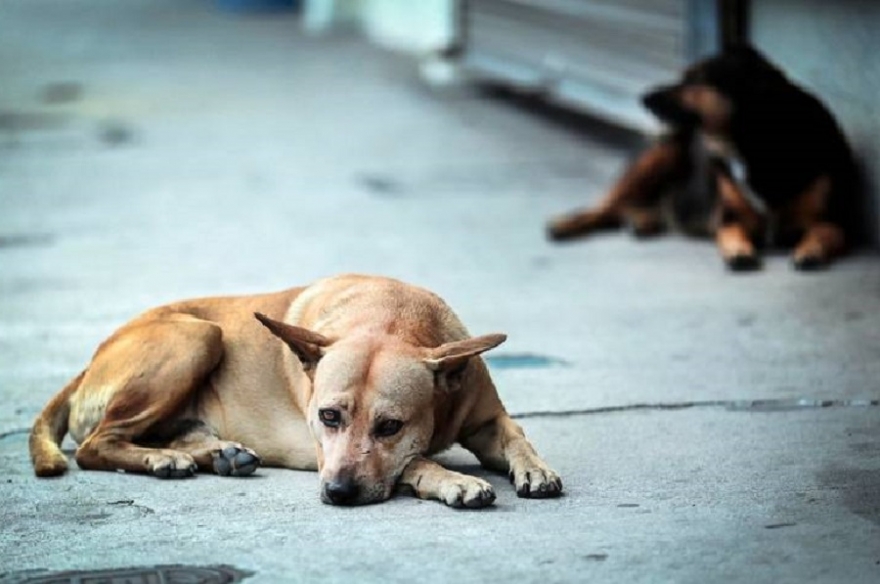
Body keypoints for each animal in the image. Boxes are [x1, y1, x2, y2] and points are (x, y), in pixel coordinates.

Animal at [31, 274, 564, 506]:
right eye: (328, 416)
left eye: (390, 426)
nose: (338, 492)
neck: (391, 318)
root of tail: (91, 361)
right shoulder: (324, 450)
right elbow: (416, 462)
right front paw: (451, 479)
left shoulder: (487, 418)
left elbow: (517, 437)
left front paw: (535, 468)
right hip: (197, 336)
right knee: (96, 445)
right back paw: (162, 459)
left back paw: (216, 454)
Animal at [548, 45, 856, 272]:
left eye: (696, 79)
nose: (643, 97)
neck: (756, 146)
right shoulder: (728, 217)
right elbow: (731, 232)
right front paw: (739, 251)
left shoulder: (835, 220)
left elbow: (824, 232)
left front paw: (810, 249)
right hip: (660, 154)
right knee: (605, 206)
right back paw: (565, 224)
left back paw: (643, 220)